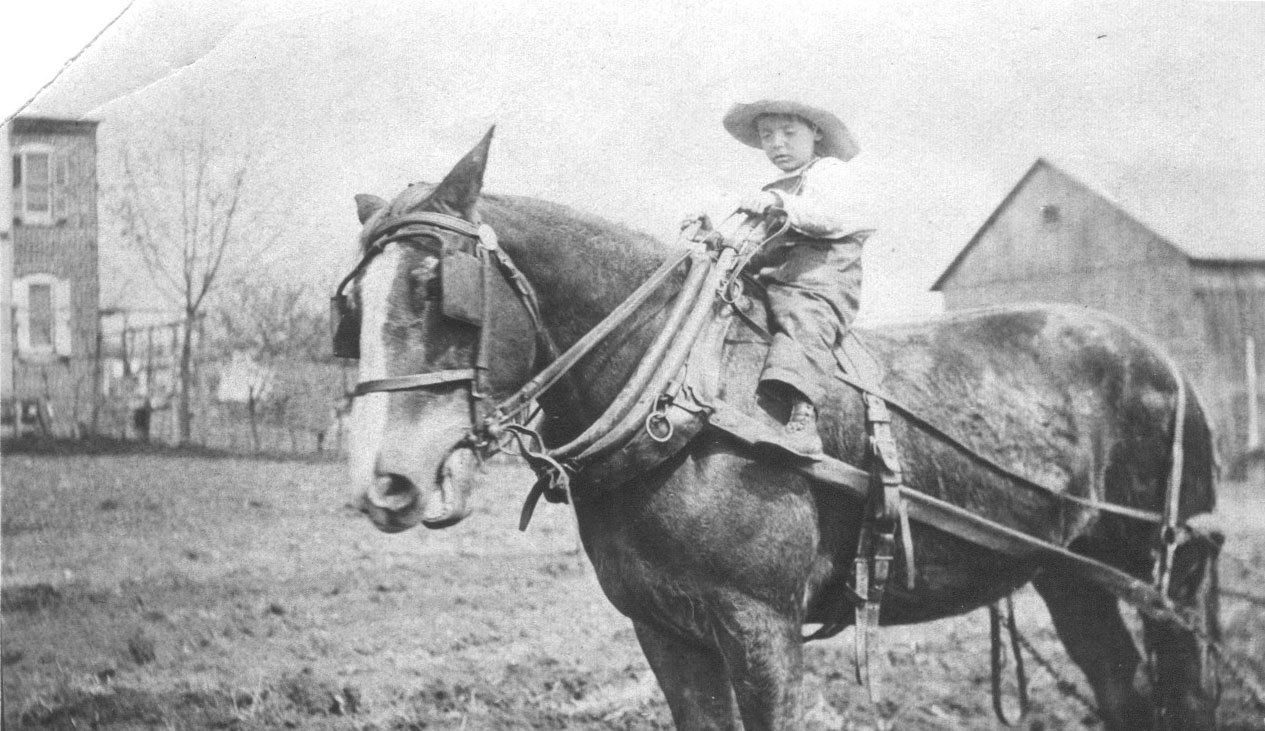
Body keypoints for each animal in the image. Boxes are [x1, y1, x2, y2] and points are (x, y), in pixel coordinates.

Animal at [341, 130, 1219, 728]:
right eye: (350, 305)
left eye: (436, 286)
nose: (385, 482)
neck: (682, 404)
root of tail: (1166, 364)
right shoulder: (663, 629)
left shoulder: (761, 625)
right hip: (1069, 573)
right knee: (1122, 687)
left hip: (1164, 572)